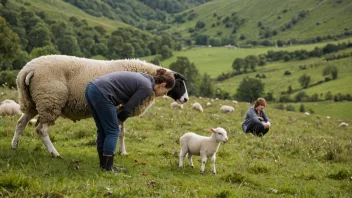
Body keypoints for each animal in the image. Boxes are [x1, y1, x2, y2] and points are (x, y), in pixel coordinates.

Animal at [11, 54, 188, 158]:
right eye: (179, 83)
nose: (186, 99)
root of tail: (28, 70)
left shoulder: (120, 109)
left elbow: (122, 132)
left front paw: (122, 151)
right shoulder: (120, 107)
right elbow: (120, 131)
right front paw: (119, 151)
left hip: (32, 102)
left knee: (21, 123)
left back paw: (14, 145)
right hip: (50, 99)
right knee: (41, 129)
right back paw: (55, 153)